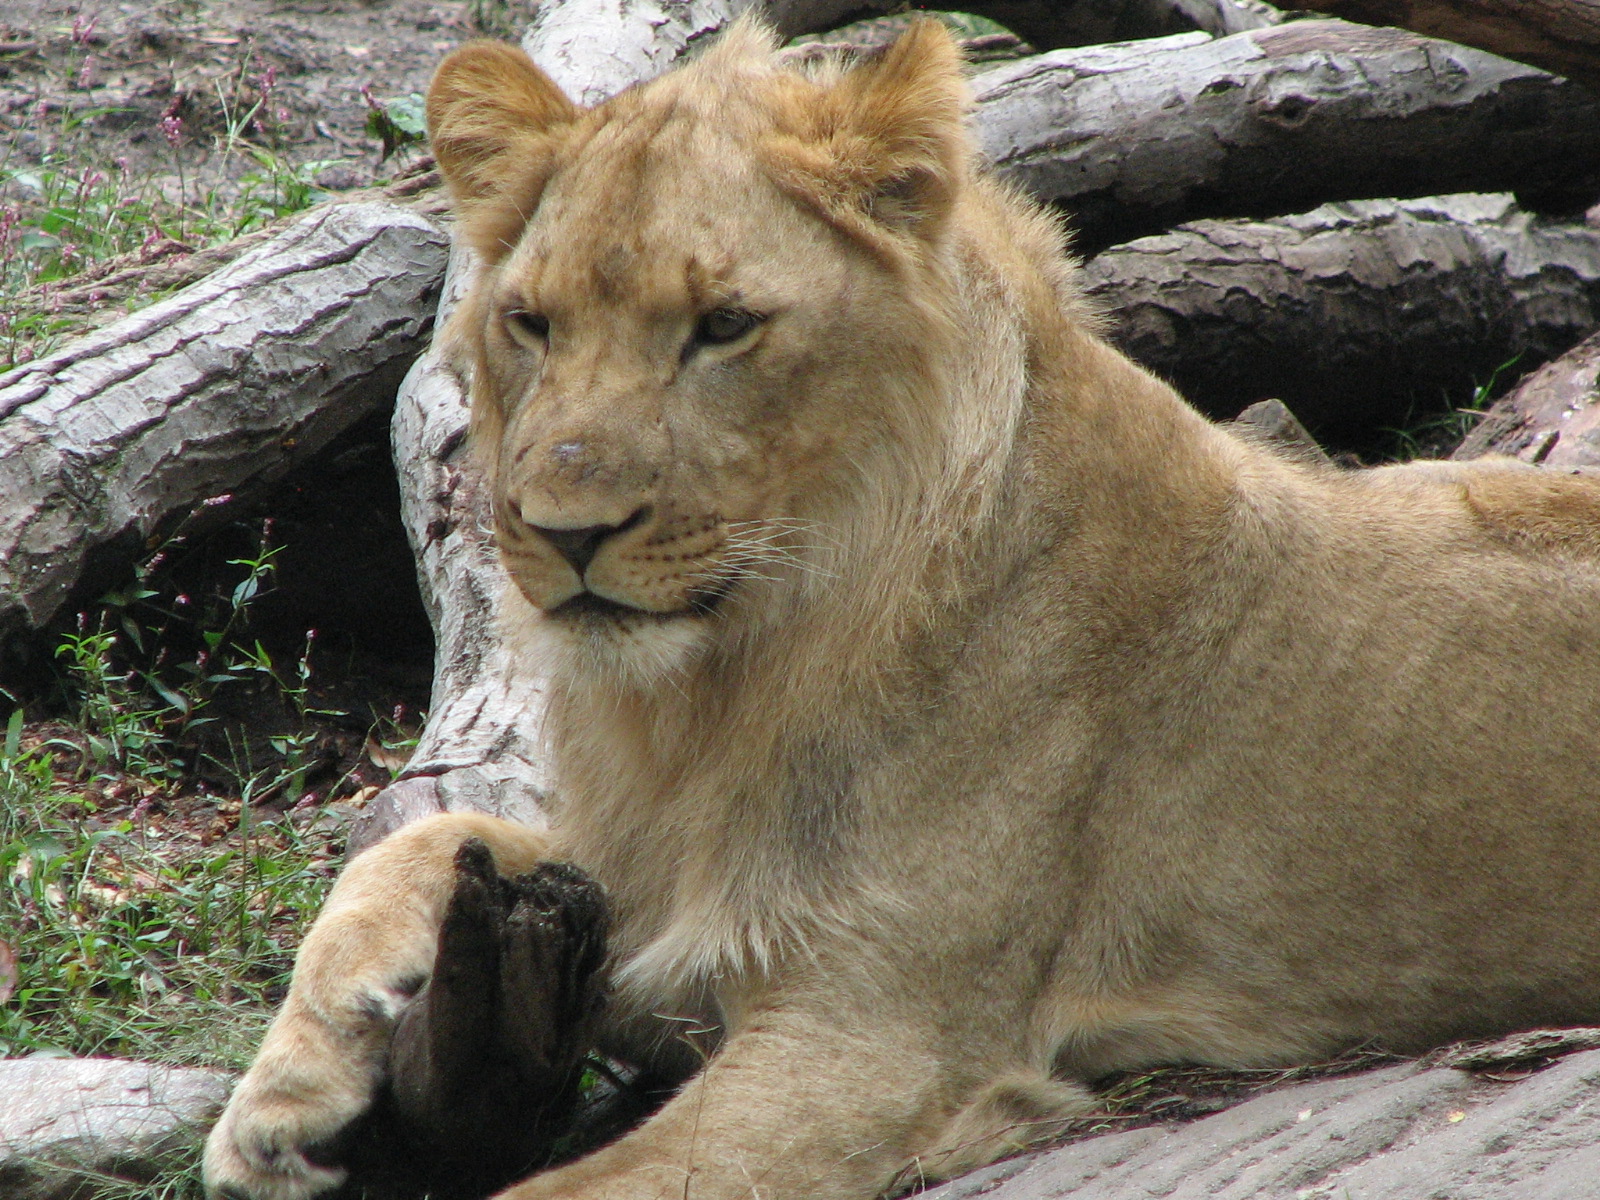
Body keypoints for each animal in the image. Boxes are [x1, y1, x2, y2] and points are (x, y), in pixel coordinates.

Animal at [203, 17, 1600, 1200]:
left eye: (722, 326)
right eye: (531, 324)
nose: (562, 533)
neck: (719, 687)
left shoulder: (877, 1040)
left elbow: (576, 1188)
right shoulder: (649, 898)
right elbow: (425, 840)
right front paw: (278, 1100)